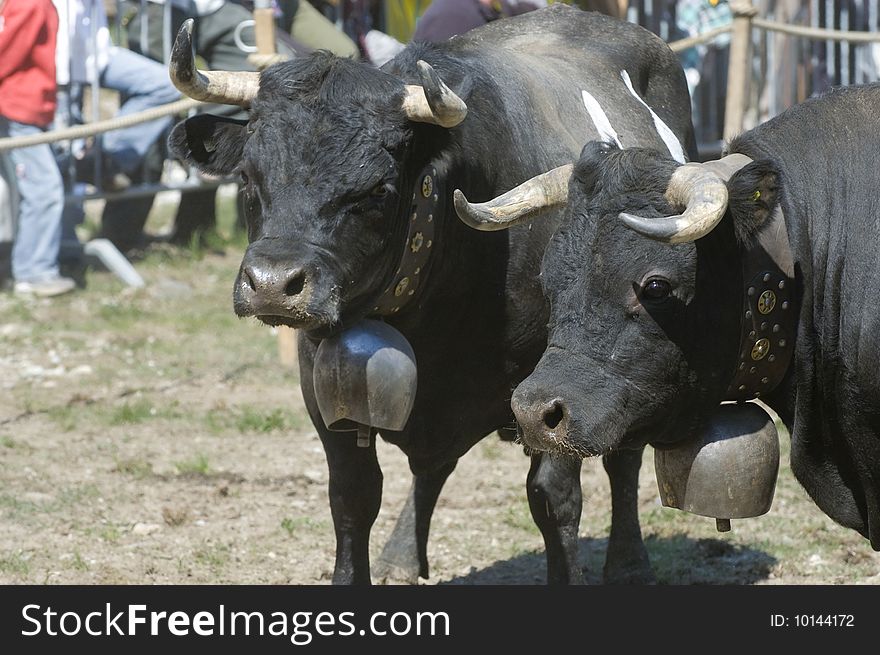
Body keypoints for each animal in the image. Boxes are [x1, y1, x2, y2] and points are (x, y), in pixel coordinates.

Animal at [168, 3, 696, 584]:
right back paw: (401, 553)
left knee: (624, 457)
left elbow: (554, 495)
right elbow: (352, 496)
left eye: (377, 189)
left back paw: (629, 563)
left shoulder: (568, 379)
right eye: (247, 177)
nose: (271, 285)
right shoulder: (319, 383)